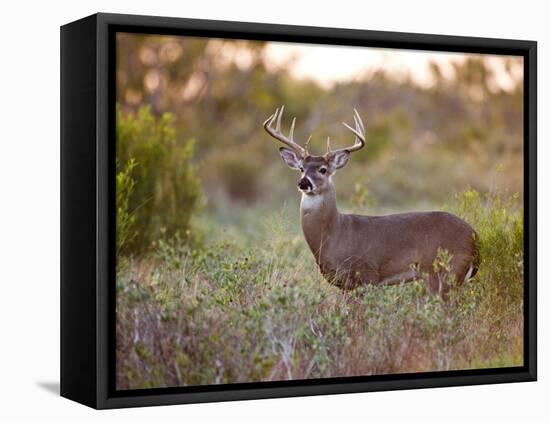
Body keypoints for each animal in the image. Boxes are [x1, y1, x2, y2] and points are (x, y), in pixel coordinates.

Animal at [266, 105, 480, 294]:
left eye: (323, 169)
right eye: (302, 168)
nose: (303, 182)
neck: (334, 233)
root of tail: (475, 237)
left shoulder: (365, 276)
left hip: (443, 273)